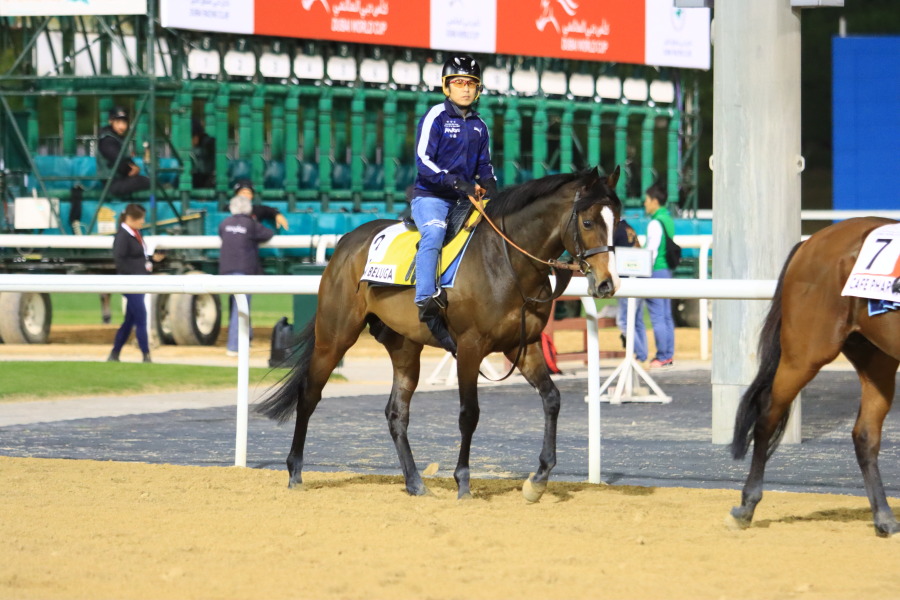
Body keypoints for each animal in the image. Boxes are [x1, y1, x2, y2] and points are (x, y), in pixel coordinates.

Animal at [256, 165, 624, 502]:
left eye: (617, 221)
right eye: (588, 223)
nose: (607, 284)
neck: (506, 262)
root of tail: (346, 242)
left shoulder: (525, 346)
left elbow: (552, 399)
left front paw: (538, 479)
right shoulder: (470, 347)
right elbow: (469, 414)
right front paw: (463, 482)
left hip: (404, 346)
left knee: (396, 413)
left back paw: (415, 482)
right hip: (335, 336)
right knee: (309, 395)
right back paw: (295, 472)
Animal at [732, 218, 900, 536]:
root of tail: (810, 243)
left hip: (878, 359)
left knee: (865, 435)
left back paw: (884, 517)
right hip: (804, 355)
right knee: (767, 416)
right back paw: (746, 505)